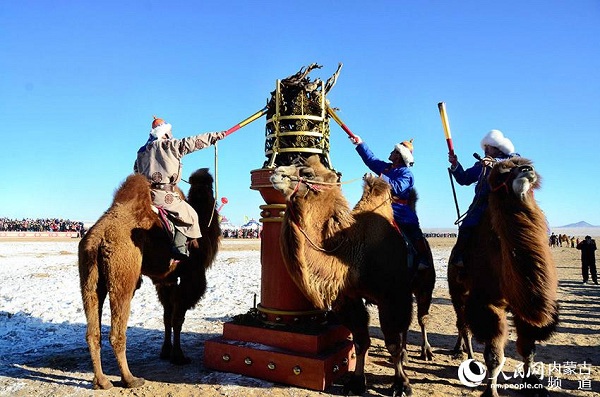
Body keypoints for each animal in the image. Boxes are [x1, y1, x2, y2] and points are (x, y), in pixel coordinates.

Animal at [78, 169, 220, 388]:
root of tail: (98, 237)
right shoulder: (190, 278)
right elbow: (178, 318)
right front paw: (179, 356)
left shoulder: (166, 281)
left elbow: (167, 317)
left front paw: (166, 352)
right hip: (123, 275)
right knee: (117, 332)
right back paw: (130, 379)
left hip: (89, 276)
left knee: (92, 332)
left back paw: (101, 381)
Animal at [270, 155, 414, 396]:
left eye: (307, 173)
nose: (276, 173)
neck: (354, 254)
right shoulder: (347, 299)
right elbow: (360, 341)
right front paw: (356, 383)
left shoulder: (391, 296)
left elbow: (393, 343)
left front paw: (401, 385)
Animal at [448, 156, 560, 394]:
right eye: (503, 173)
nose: (527, 169)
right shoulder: (489, 303)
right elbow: (494, 355)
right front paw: (490, 391)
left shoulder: (522, 307)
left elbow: (528, 348)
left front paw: (532, 380)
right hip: (458, 291)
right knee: (464, 325)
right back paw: (468, 359)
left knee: (464, 325)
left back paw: (460, 350)